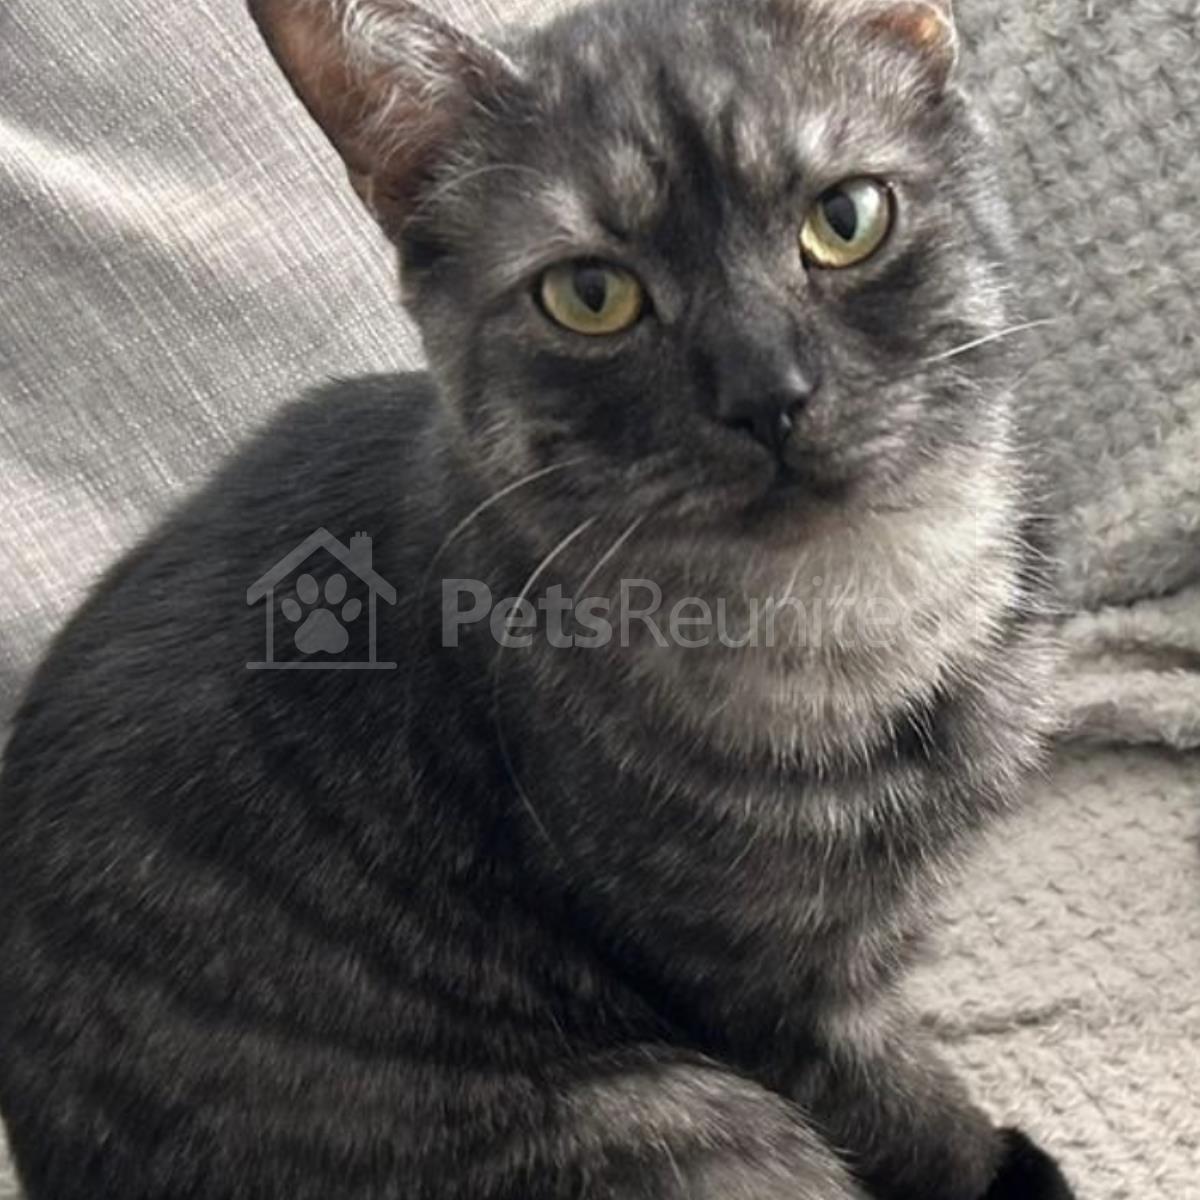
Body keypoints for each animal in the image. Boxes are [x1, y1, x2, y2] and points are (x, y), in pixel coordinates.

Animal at [0, 0, 1074, 1197]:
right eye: (591, 295)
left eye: (845, 219)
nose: (767, 393)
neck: (872, 607)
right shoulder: (773, 996)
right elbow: (907, 1112)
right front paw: (1002, 1165)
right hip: (680, 1123)